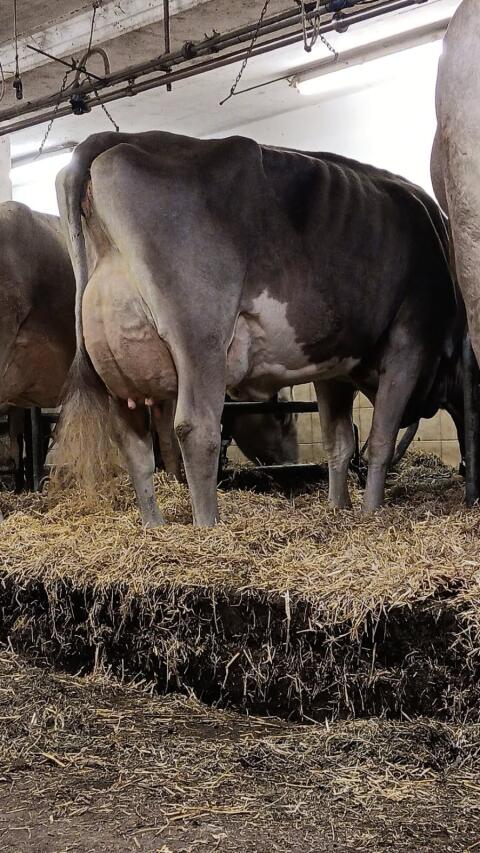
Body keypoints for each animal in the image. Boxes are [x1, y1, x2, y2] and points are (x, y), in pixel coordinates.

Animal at [54, 131, 458, 526]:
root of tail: (109, 138)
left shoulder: (332, 365)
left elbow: (339, 440)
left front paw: (339, 507)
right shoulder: (411, 338)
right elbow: (380, 440)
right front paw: (373, 511)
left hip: (115, 367)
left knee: (134, 445)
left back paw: (154, 527)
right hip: (201, 336)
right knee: (196, 429)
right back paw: (208, 526)